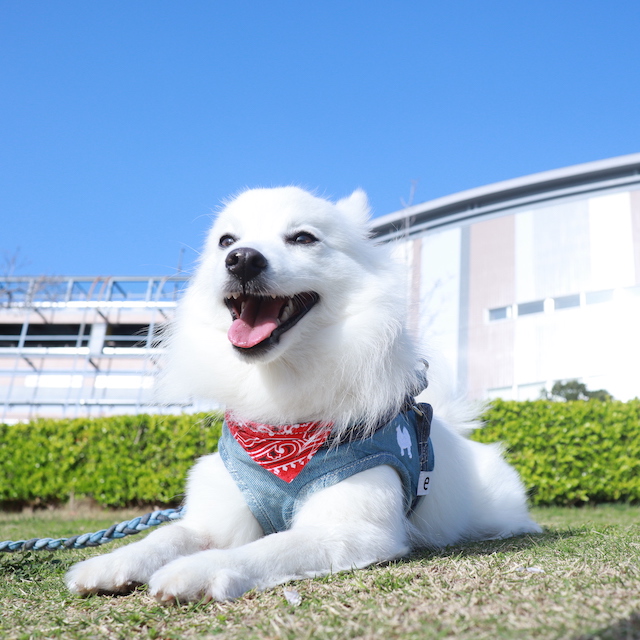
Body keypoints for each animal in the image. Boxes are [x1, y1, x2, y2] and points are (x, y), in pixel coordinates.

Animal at [66, 185, 540, 600]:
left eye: (303, 238)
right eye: (226, 241)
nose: (242, 259)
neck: (281, 418)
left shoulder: (347, 530)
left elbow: (264, 549)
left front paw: (196, 571)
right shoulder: (213, 521)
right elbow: (166, 535)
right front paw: (109, 562)